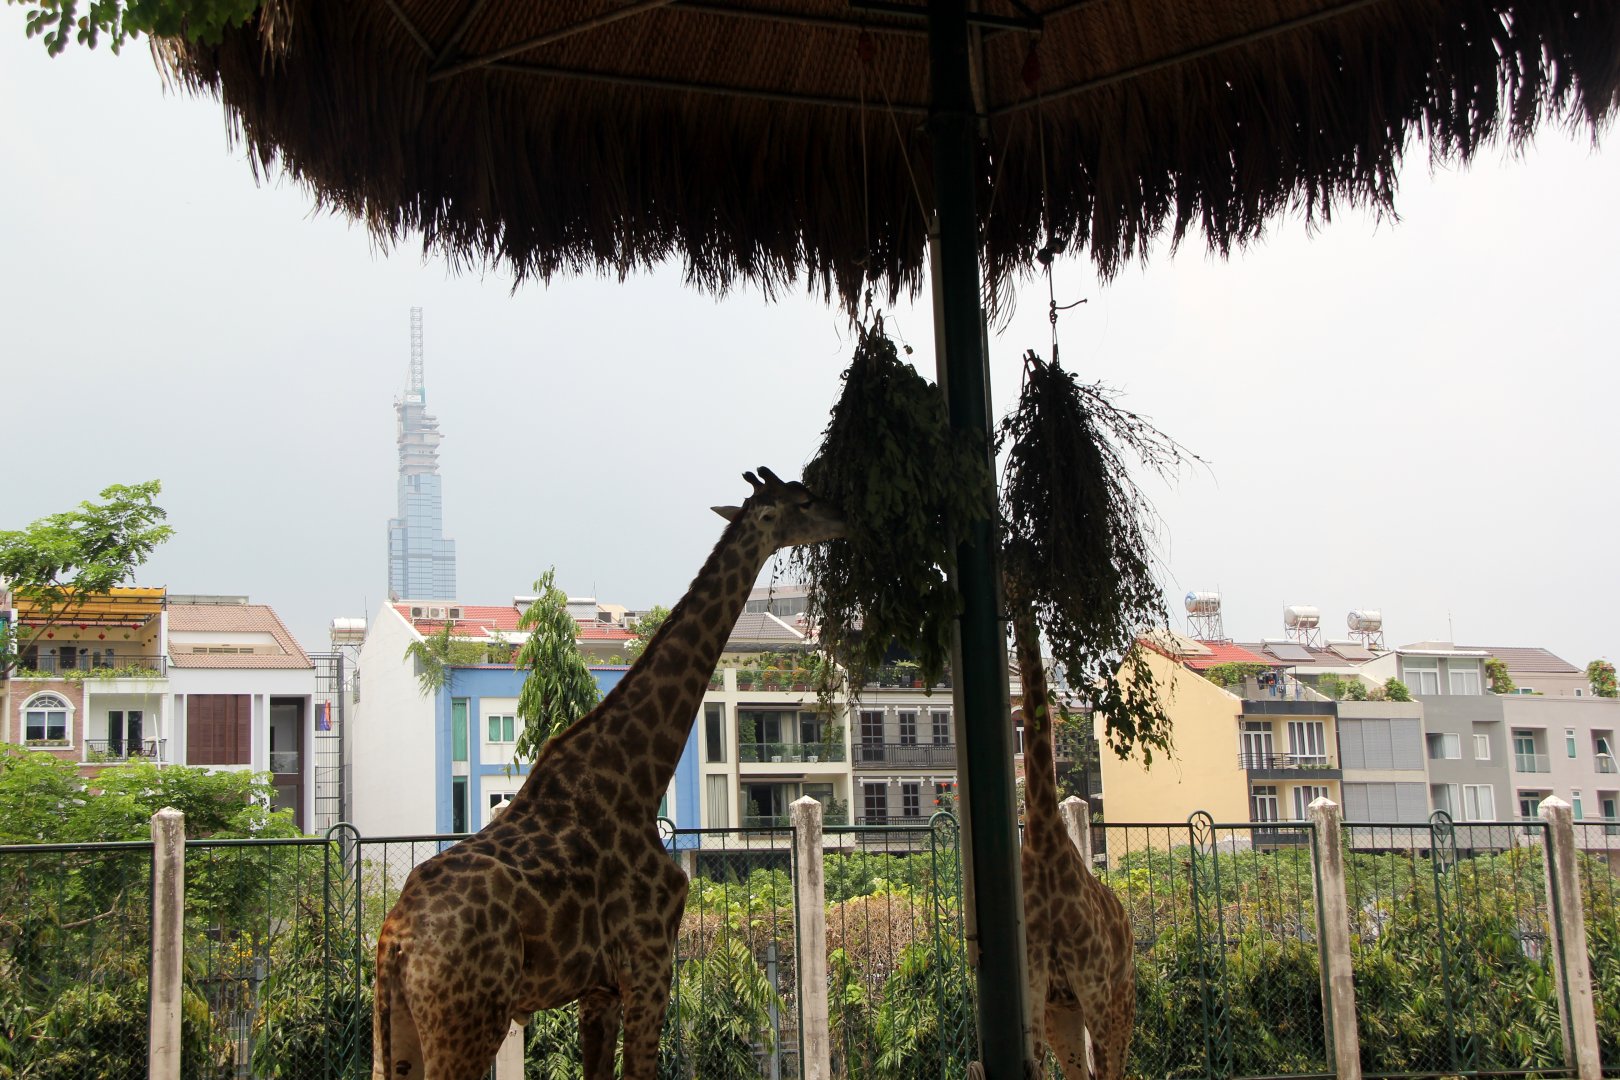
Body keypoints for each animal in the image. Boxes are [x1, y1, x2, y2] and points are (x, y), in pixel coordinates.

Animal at [372, 468, 846, 1080]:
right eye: (802, 501)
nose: (846, 516)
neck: (636, 779)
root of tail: (397, 938)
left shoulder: (597, 988)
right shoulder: (649, 963)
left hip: (398, 1029)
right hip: (468, 1021)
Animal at [1012, 599, 1135, 1080]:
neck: (1045, 843)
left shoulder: (1094, 986)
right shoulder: (1035, 987)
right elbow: (1037, 1067)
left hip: (1121, 1001)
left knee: (1114, 1068)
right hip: (1062, 1014)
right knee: (1079, 1069)